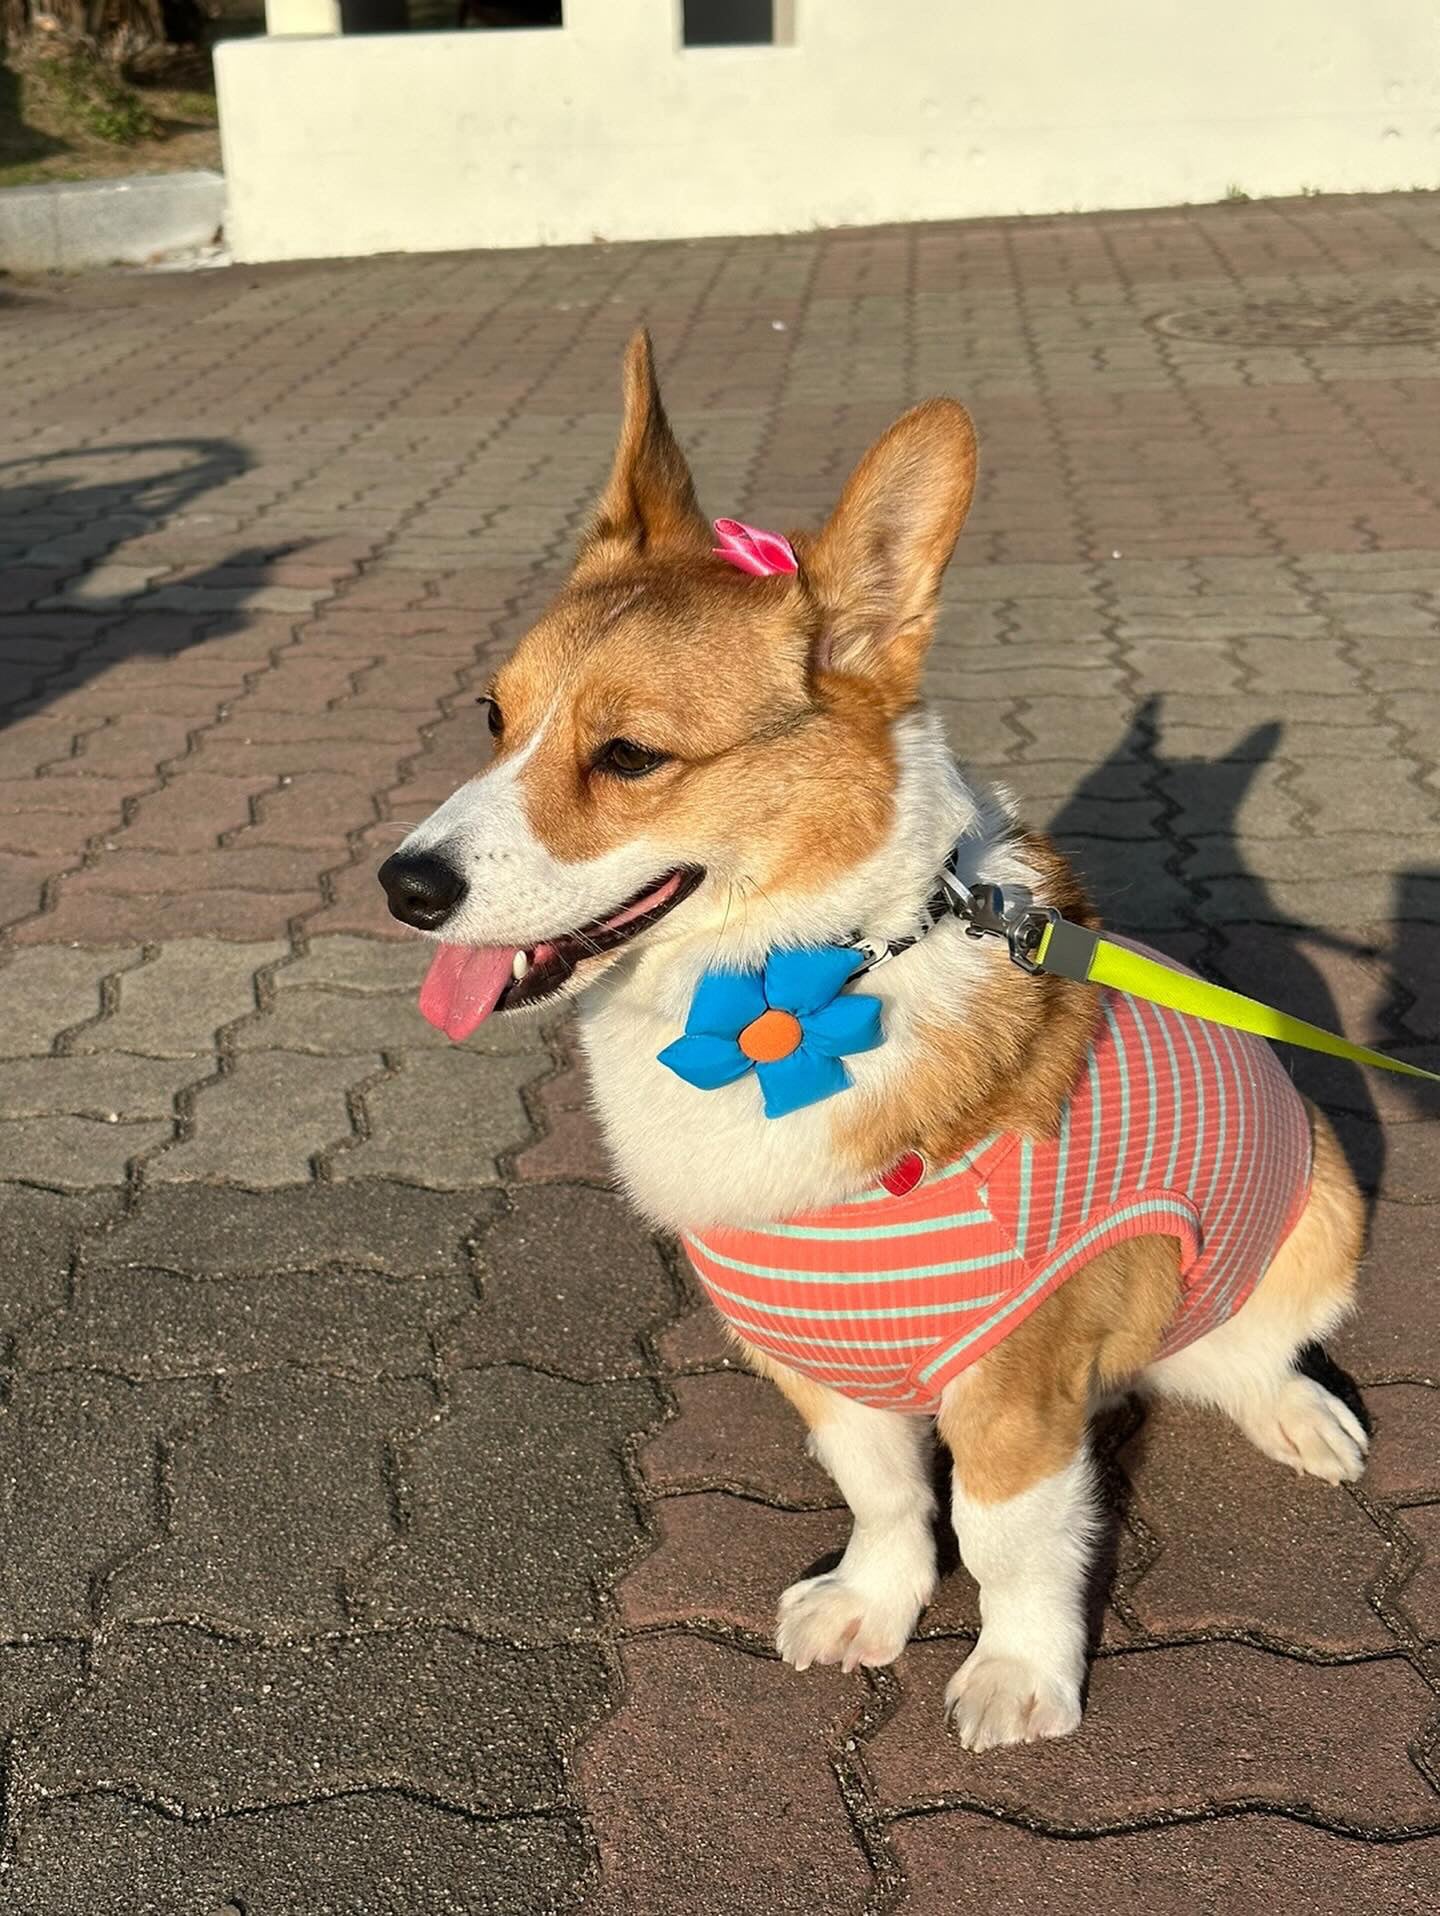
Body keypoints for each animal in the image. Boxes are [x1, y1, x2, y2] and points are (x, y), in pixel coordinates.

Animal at [377, 333, 1363, 1755]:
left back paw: (1297, 1408)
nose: (403, 886)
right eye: (491, 716)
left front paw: (1021, 1672)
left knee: (1252, 1343)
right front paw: (873, 1606)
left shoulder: (1009, 1385)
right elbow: (889, 1499)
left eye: (629, 754)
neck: (784, 989)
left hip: (1326, 1204)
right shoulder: (823, 1363)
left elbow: (1008, 1540)